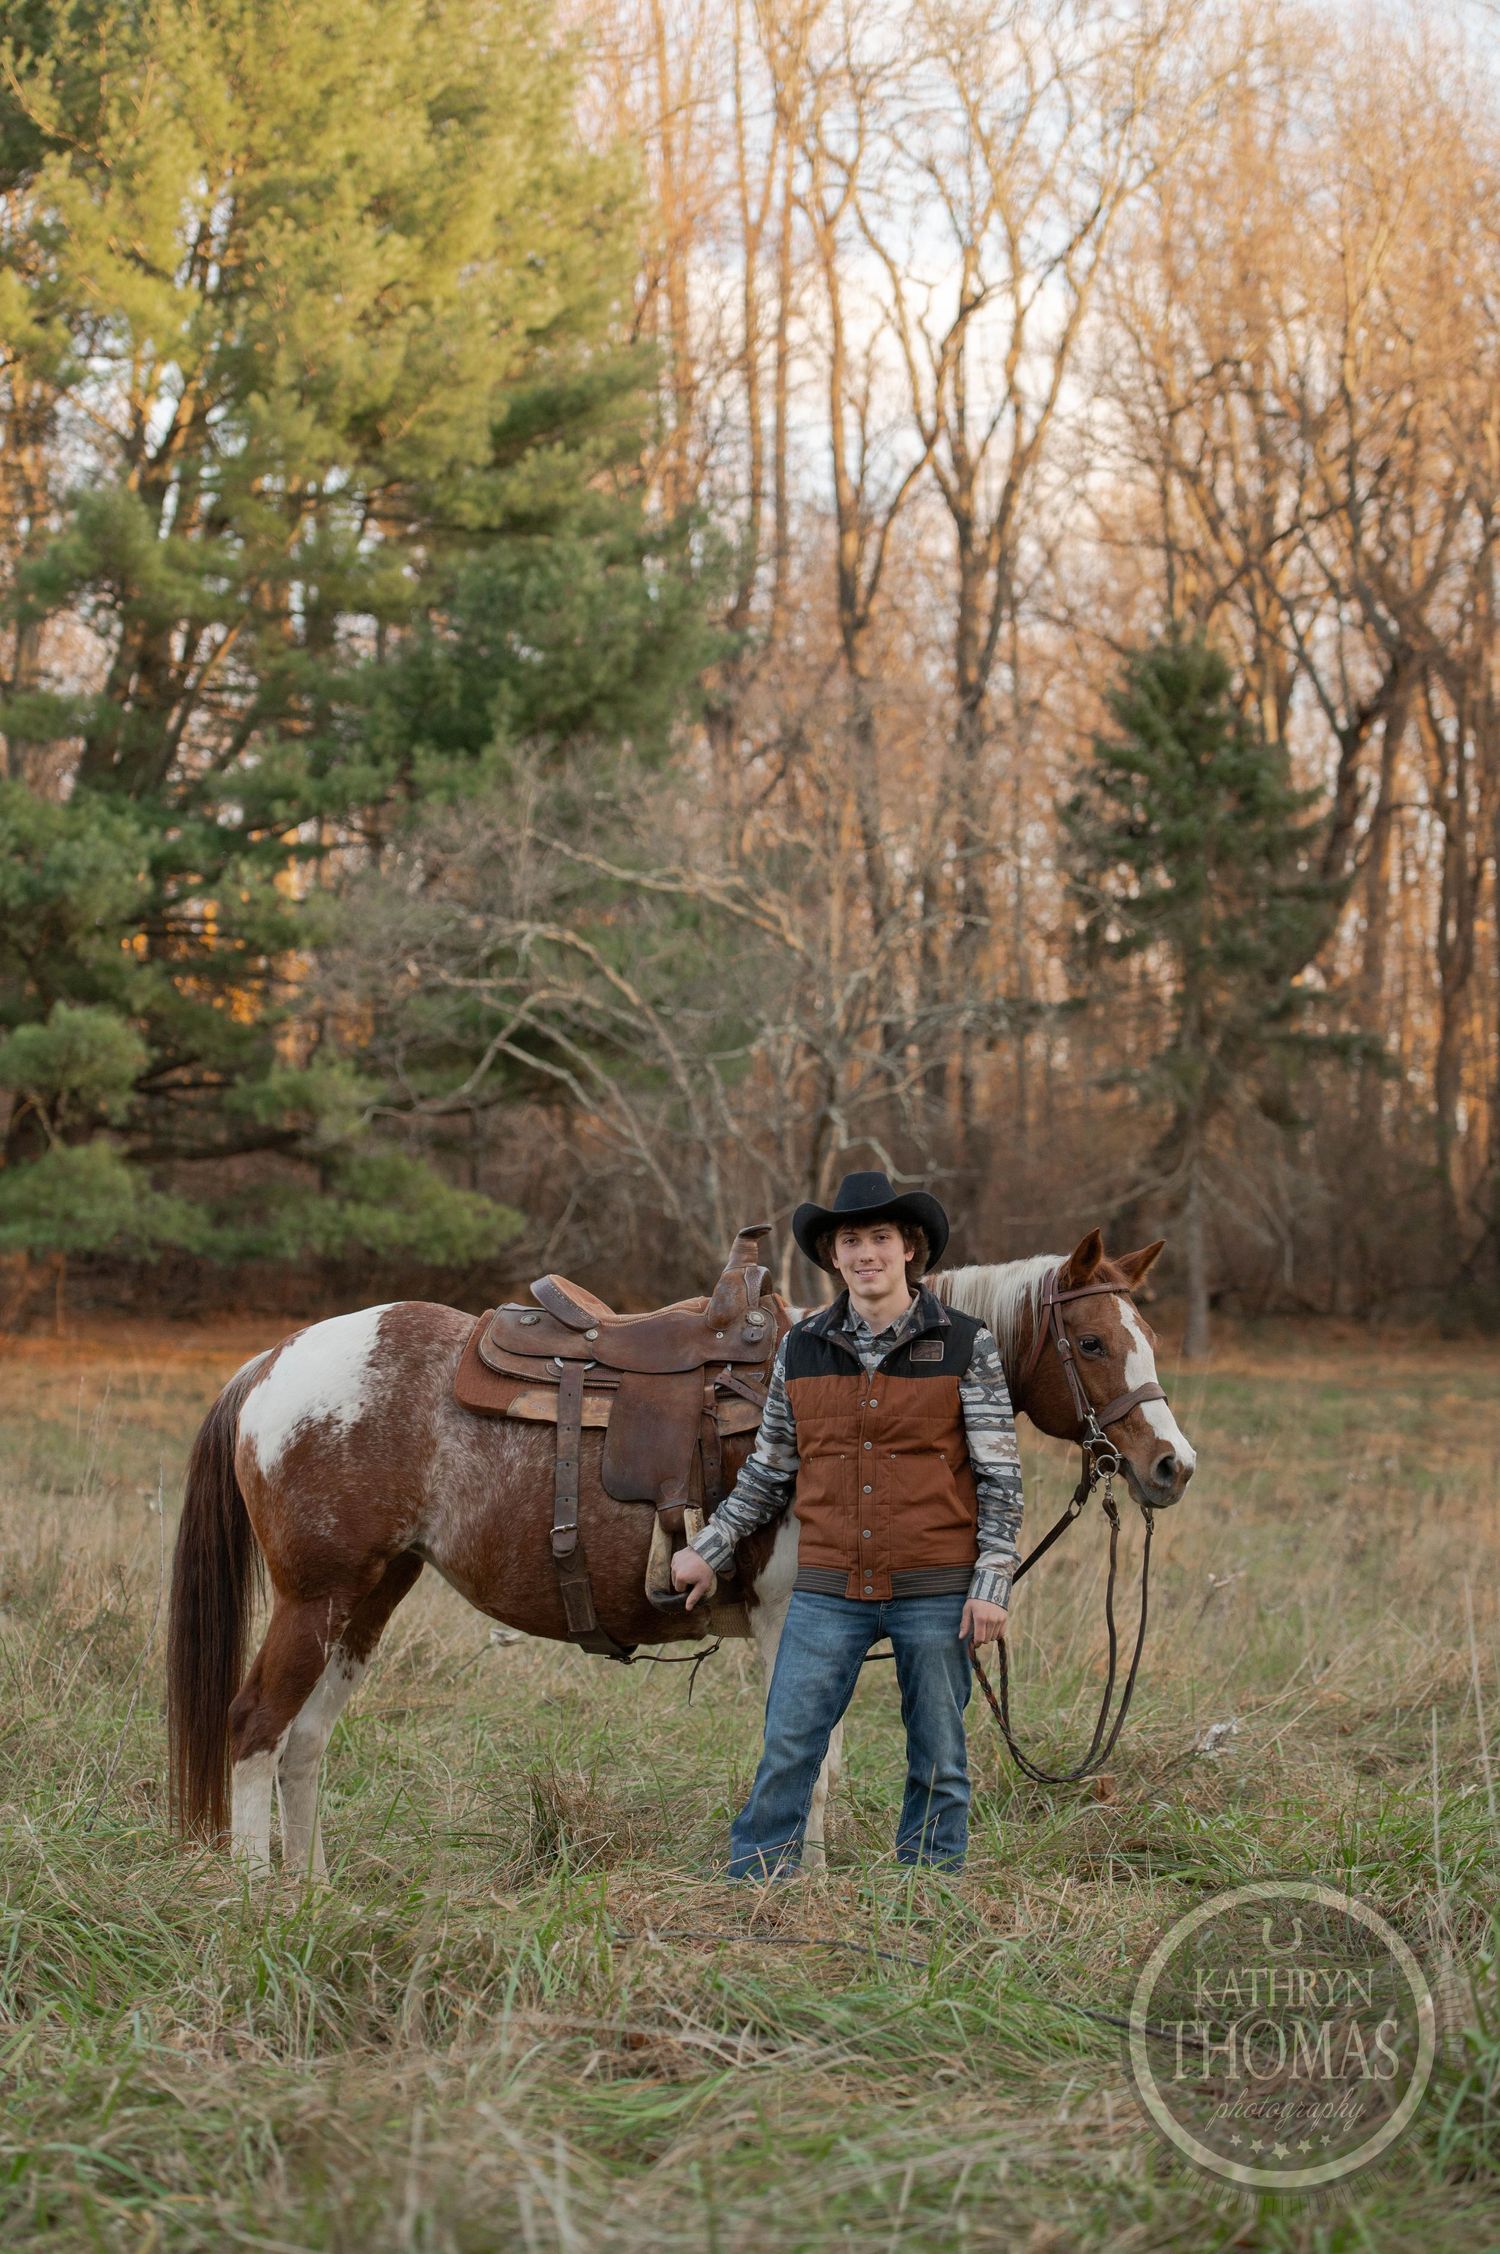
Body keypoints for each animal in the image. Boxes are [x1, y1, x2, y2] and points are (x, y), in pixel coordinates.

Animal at [165, 1228, 1196, 1878]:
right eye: (1092, 1341)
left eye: (1146, 1334)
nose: (1171, 1464)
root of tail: (271, 1365)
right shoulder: (790, 1622)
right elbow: (809, 1763)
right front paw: (800, 1892)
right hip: (316, 1597)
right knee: (255, 1727)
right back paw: (258, 1900)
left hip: (368, 1598)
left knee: (305, 1740)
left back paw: (312, 1894)